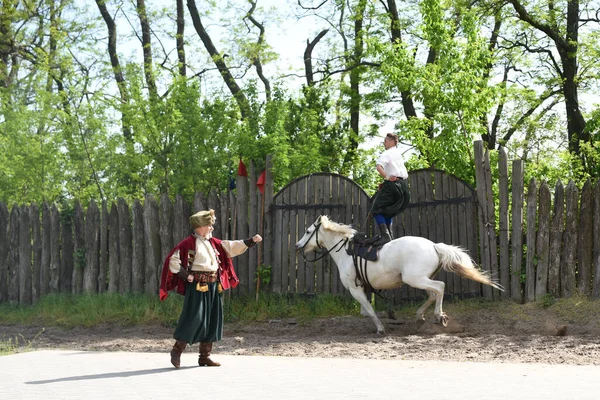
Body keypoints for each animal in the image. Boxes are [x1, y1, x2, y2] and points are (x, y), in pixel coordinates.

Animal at [294, 216, 502, 334]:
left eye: (308, 231)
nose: (297, 246)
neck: (345, 251)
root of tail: (434, 246)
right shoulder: (362, 288)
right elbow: (365, 310)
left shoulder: (354, 288)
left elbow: (369, 310)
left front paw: (380, 329)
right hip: (421, 279)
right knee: (433, 293)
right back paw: (420, 317)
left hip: (415, 279)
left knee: (440, 287)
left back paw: (439, 316)